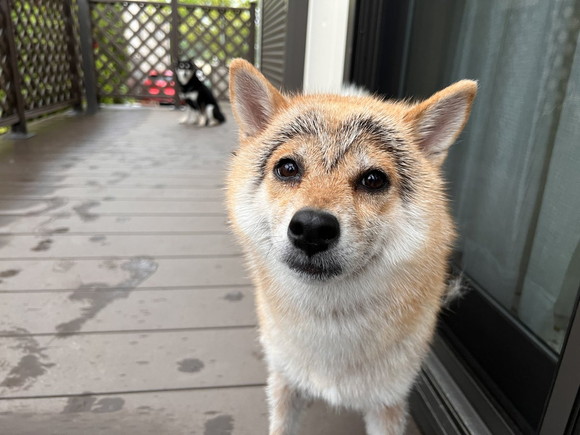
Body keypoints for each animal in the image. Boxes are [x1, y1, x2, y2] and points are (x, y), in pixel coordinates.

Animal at [227, 58, 476, 435]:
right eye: (287, 168)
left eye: (373, 179)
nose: (312, 228)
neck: (330, 324)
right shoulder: (285, 383)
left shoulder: (387, 404)